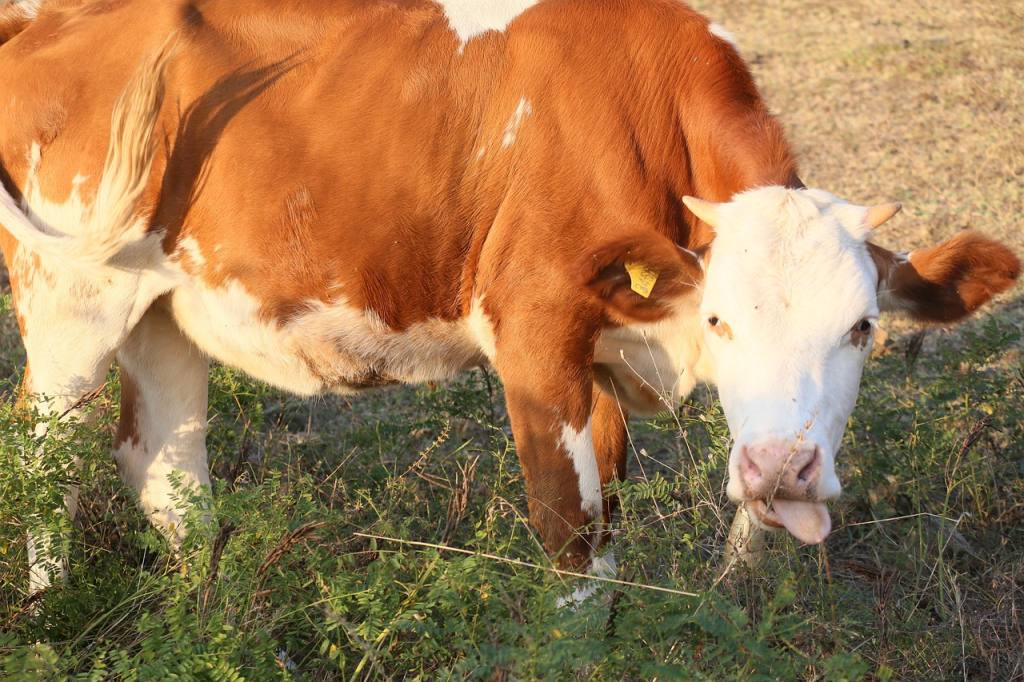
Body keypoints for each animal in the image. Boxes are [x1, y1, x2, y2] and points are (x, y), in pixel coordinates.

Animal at [0, 0, 1018, 597]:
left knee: (165, 466)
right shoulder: (535, 331)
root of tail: (54, 17)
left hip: (162, 308)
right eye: (722, 319)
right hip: (69, 300)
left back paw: (217, 611)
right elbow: (569, 533)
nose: (783, 469)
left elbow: (619, 523)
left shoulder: (602, 354)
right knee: (46, 450)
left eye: (863, 328)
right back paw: (49, 609)